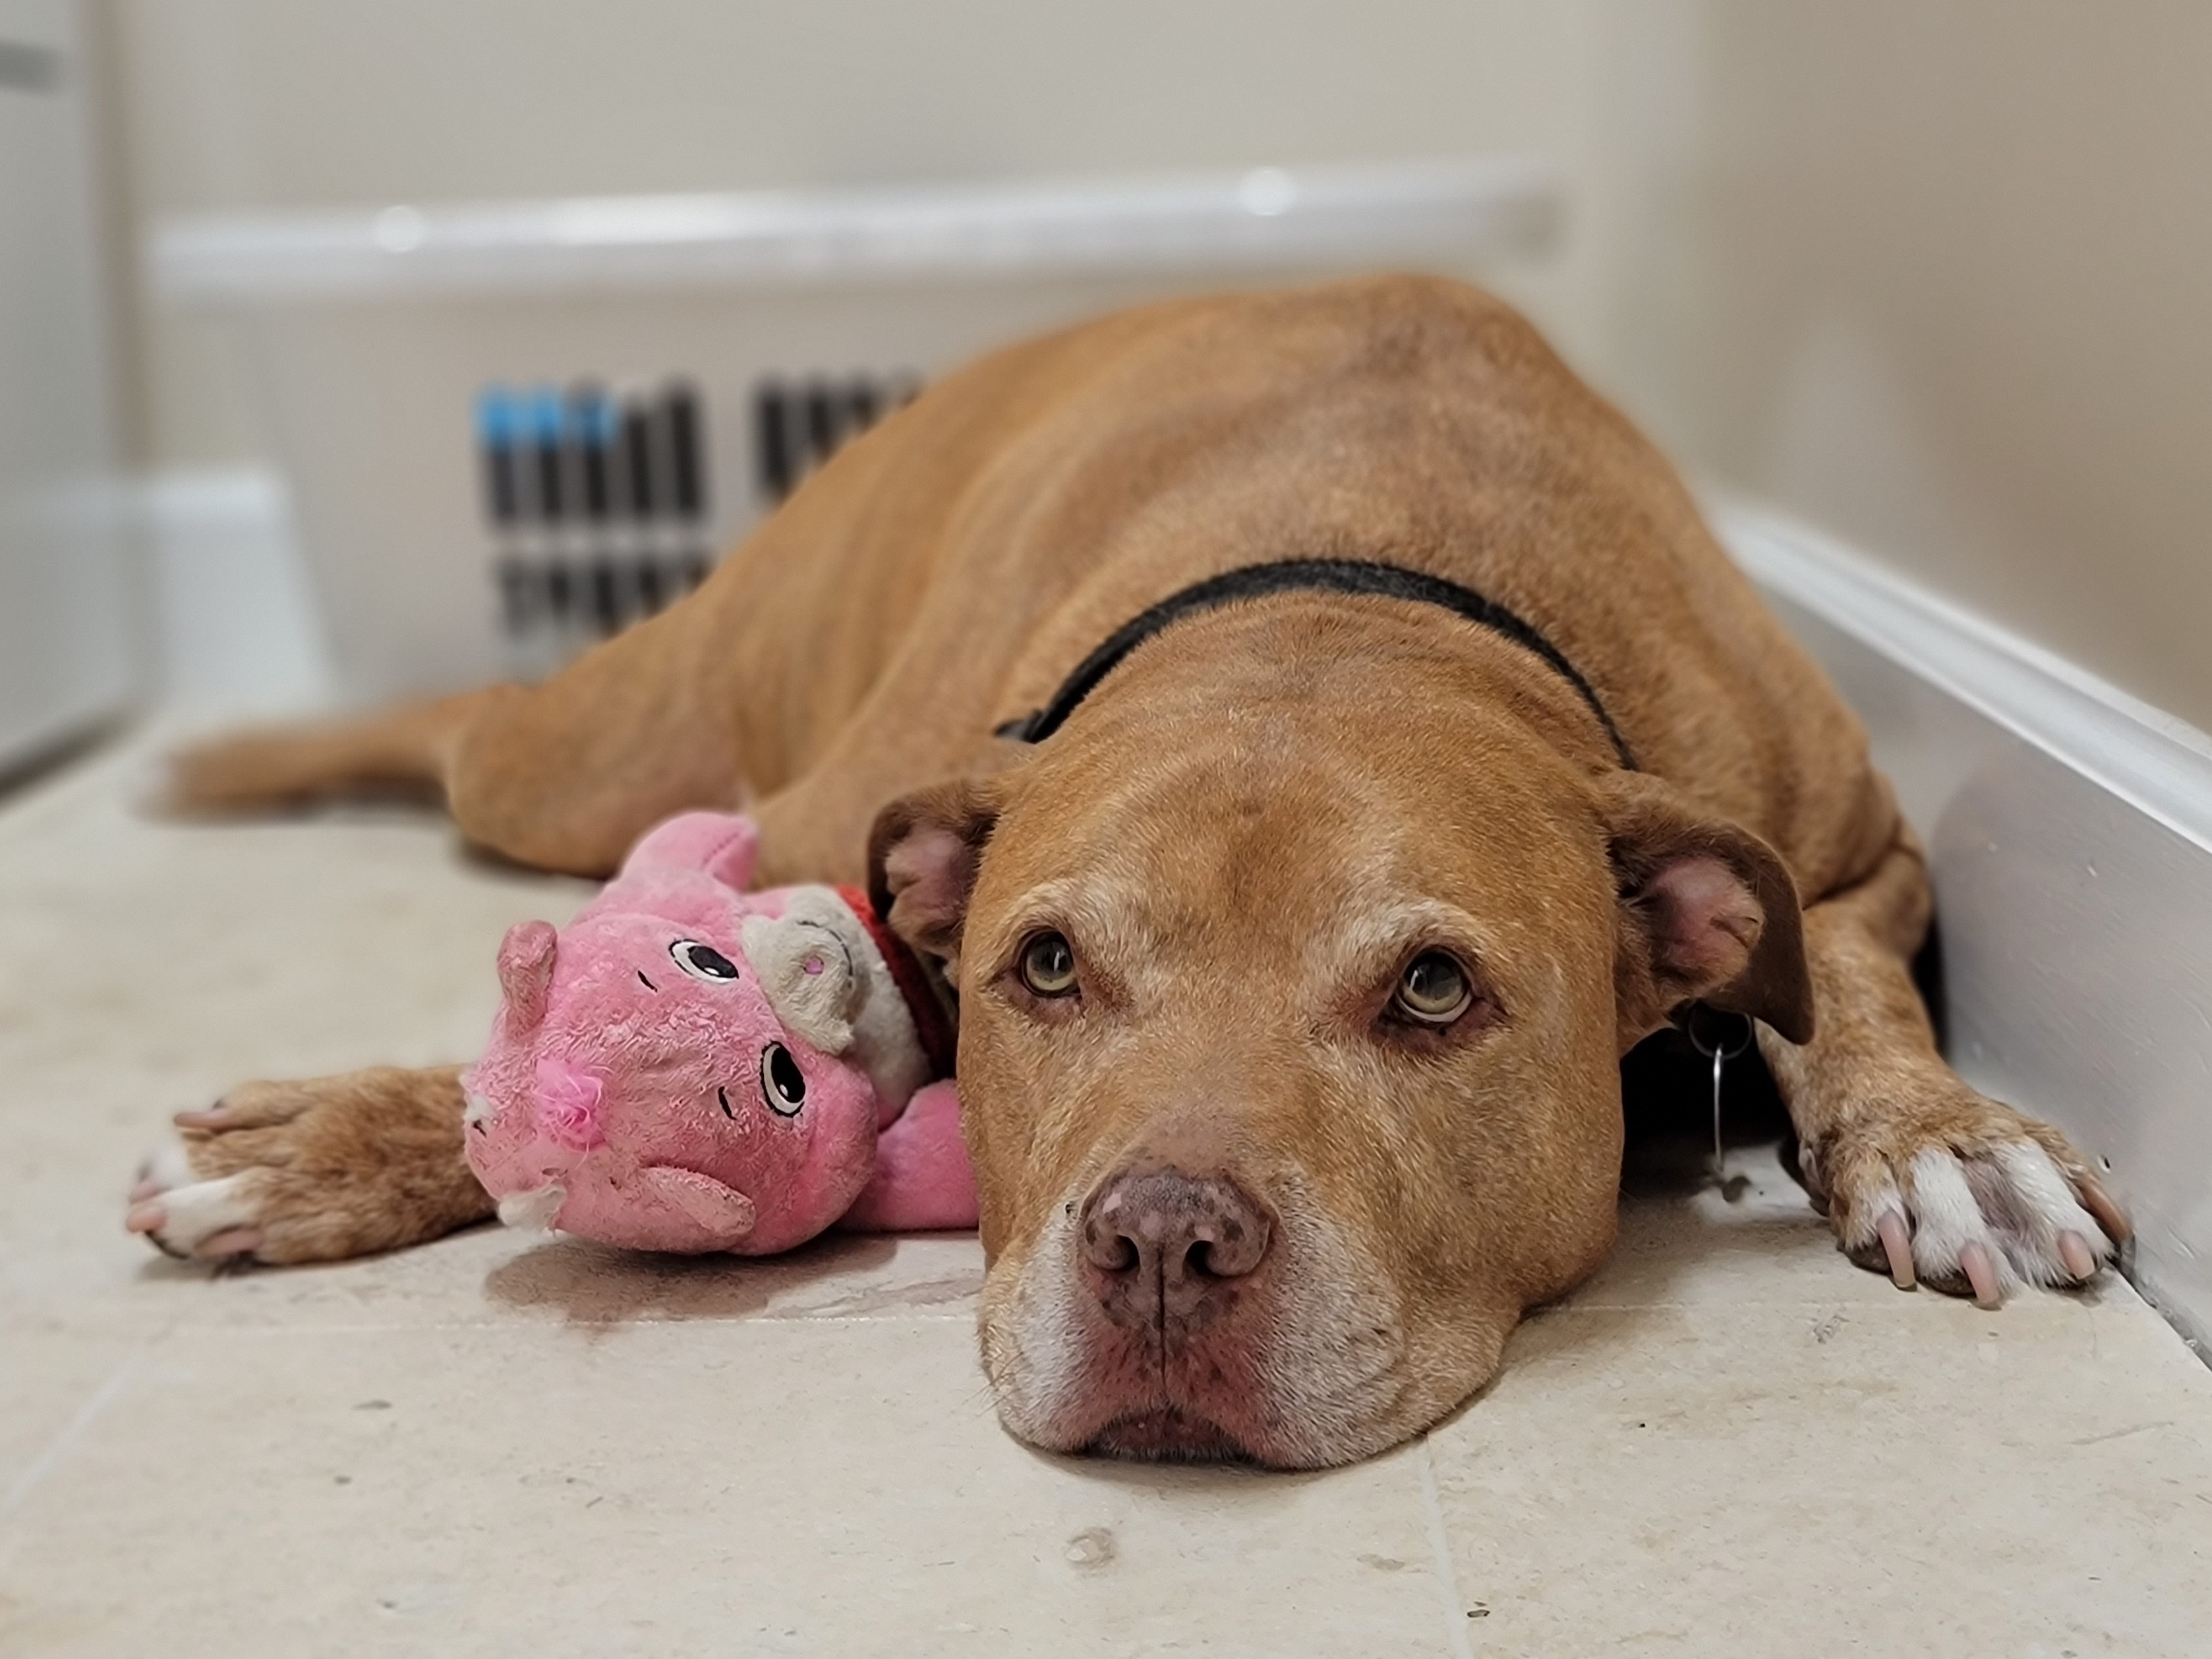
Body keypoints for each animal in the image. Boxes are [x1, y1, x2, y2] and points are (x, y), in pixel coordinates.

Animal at [125, 276, 2123, 1469]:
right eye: (1047, 965)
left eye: (1432, 987)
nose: (1163, 1243)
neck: (1349, 583)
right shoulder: (808, 848)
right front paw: (353, 1135)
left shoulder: (1851, 848)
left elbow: (1842, 976)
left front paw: (1945, 1132)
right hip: (607, 755)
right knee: (477, 728)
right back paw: (218, 759)